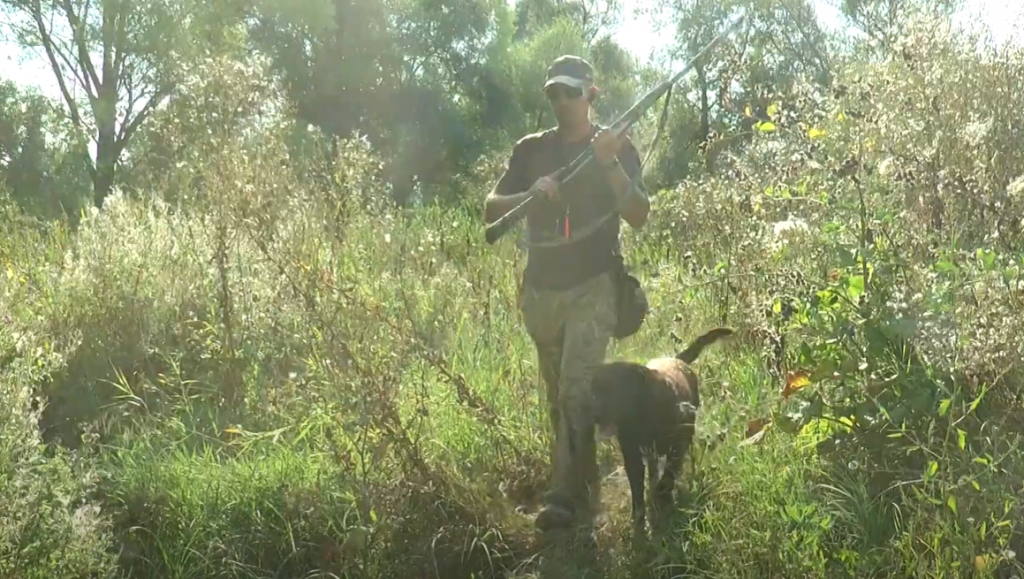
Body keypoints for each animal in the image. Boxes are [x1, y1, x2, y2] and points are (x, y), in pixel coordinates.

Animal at [589, 327, 733, 528]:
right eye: (595, 391)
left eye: (612, 391)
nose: (593, 415)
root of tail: (676, 359)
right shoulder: (632, 457)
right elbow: (637, 487)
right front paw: (640, 517)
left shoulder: (680, 441)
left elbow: (670, 471)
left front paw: (662, 495)